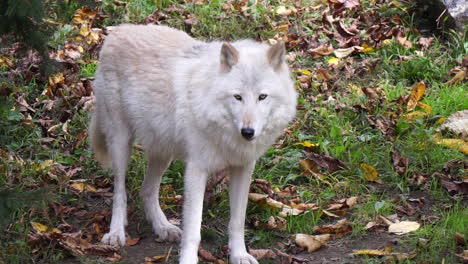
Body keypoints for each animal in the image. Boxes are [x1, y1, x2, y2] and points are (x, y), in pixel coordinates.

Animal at [88, 23, 296, 262]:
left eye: (262, 97)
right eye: (238, 97)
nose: (248, 132)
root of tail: (119, 29)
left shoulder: (243, 168)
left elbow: (237, 222)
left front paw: (239, 255)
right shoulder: (196, 170)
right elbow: (194, 230)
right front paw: (188, 259)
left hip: (162, 151)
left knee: (146, 190)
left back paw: (163, 227)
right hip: (121, 143)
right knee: (120, 192)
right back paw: (116, 233)